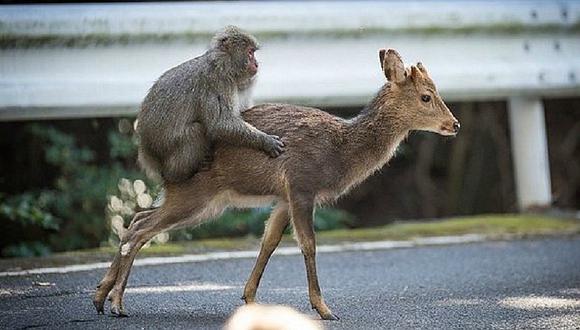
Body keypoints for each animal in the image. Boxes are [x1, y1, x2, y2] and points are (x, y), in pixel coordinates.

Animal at [93, 48, 460, 320]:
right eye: (426, 97)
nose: (454, 124)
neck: (340, 152)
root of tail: (159, 163)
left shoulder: (283, 197)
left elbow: (268, 241)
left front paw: (250, 298)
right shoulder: (301, 184)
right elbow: (308, 244)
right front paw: (324, 309)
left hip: (201, 201)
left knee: (136, 220)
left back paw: (100, 296)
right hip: (195, 194)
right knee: (140, 228)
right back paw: (117, 303)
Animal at [134, 25, 284, 186]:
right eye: (250, 53)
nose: (256, 64)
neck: (222, 64)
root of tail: (147, 153)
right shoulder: (218, 82)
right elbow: (220, 124)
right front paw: (265, 141)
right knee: (195, 131)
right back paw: (177, 175)